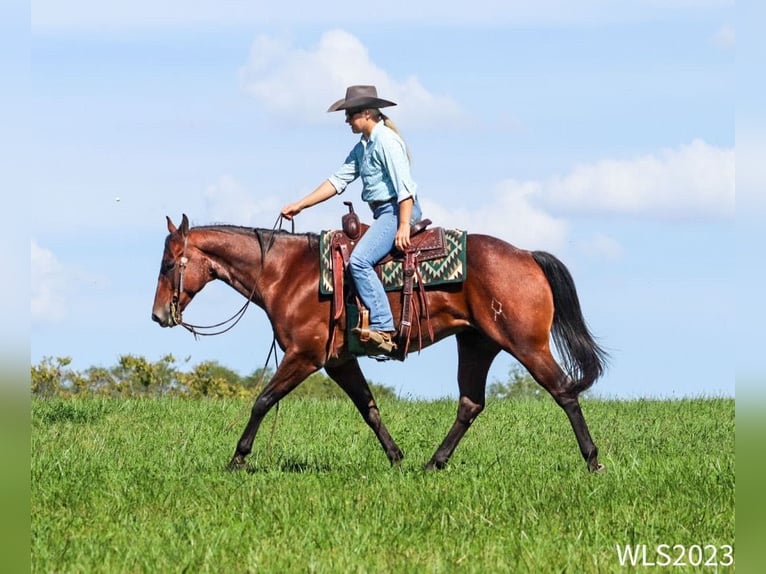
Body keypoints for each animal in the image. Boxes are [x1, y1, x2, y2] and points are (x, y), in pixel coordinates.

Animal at [152, 214, 612, 474]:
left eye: (169, 264)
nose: (158, 315)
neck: (286, 273)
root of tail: (527, 255)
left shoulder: (304, 356)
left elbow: (262, 401)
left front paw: (237, 458)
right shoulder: (338, 362)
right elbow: (369, 408)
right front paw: (396, 457)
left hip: (526, 344)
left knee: (564, 391)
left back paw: (593, 461)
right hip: (476, 344)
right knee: (470, 404)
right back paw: (433, 463)